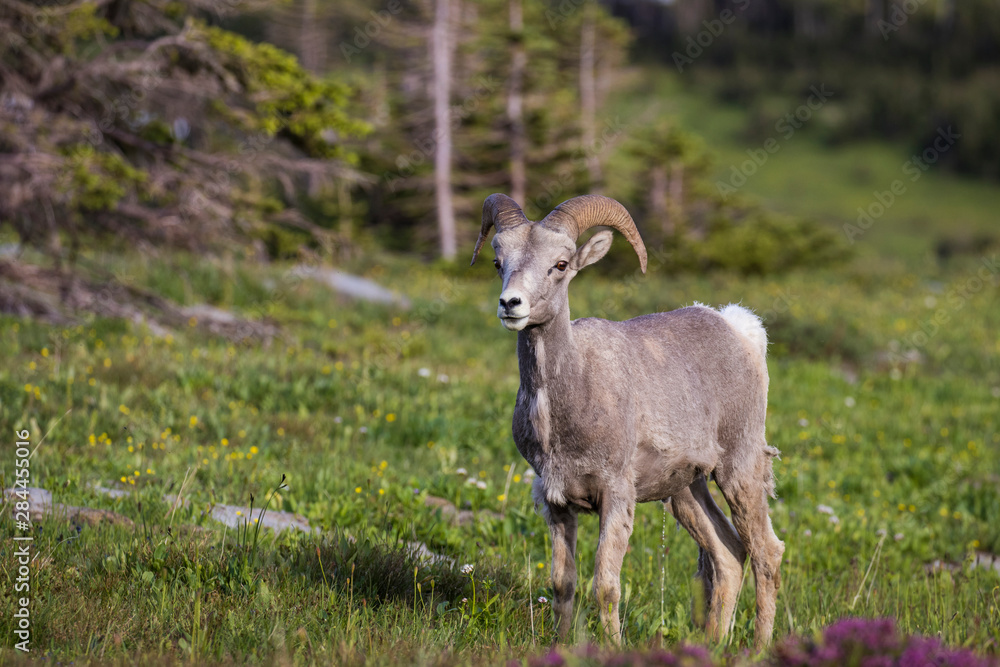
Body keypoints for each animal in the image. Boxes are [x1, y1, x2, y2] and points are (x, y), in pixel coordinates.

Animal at [470, 193, 784, 649]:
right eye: (498, 262)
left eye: (560, 264)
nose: (511, 305)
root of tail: (738, 328)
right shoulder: (555, 502)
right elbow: (563, 583)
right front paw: (560, 647)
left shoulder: (615, 495)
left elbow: (606, 585)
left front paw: (613, 647)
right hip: (686, 492)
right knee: (728, 555)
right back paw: (712, 644)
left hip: (739, 470)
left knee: (766, 553)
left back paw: (757, 649)